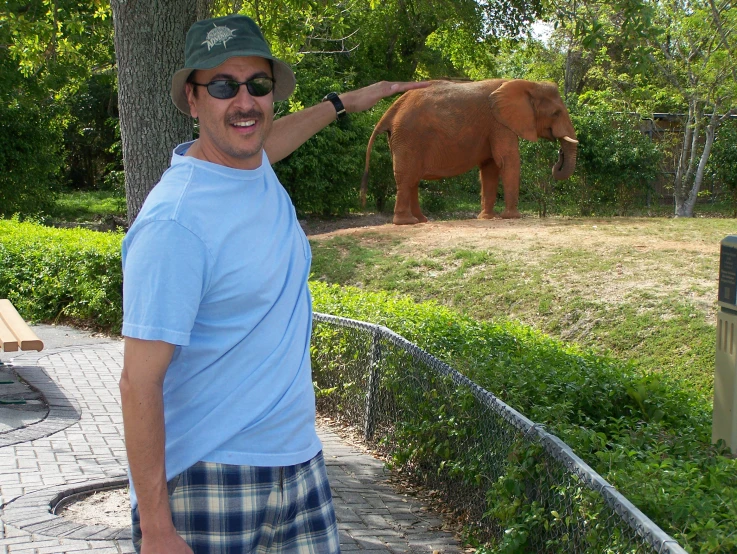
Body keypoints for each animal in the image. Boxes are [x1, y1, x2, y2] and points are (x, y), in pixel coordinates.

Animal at [360, 78, 576, 224]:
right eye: (556, 113)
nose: (559, 155)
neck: (527, 84)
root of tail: (390, 111)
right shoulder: (499, 123)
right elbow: (507, 160)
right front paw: (512, 217)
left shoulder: (494, 126)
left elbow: (490, 167)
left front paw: (487, 218)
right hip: (409, 137)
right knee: (407, 177)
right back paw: (407, 222)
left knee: (411, 178)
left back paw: (421, 220)